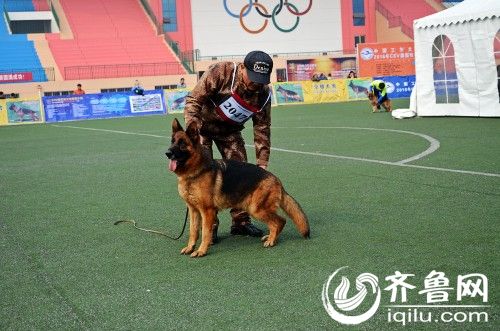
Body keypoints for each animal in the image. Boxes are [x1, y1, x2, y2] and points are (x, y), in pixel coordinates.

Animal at [166, 119, 310, 260]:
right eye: (172, 142)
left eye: (182, 144)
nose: (167, 153)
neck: (194, 173)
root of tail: (276, 179)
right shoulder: (194, 210)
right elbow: (193, 231)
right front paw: (190, 248)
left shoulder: (207, 211)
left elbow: (206, 233)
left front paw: (201, 251)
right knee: (277, 223)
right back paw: (270, 237)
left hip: (256, 209)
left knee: (280, 221)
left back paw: (271, 241)